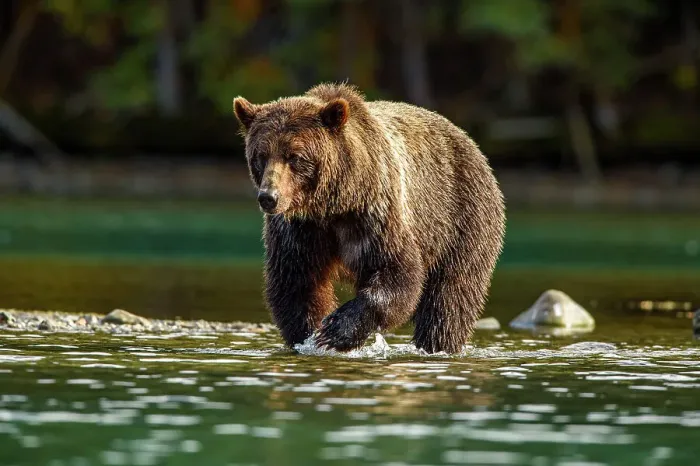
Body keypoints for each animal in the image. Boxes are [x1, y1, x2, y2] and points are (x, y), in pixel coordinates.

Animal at [233, 82, 506, 354]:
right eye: (260, 156)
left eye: (295, 156)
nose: (269, 197)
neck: (333, 204)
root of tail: (470, 142)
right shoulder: (301, 230)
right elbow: (296, 283)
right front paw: (310, 335)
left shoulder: (374, 214)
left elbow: (396, 272)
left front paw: (336, 330)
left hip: (461, 218)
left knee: (449, 299)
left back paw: (437, 344)